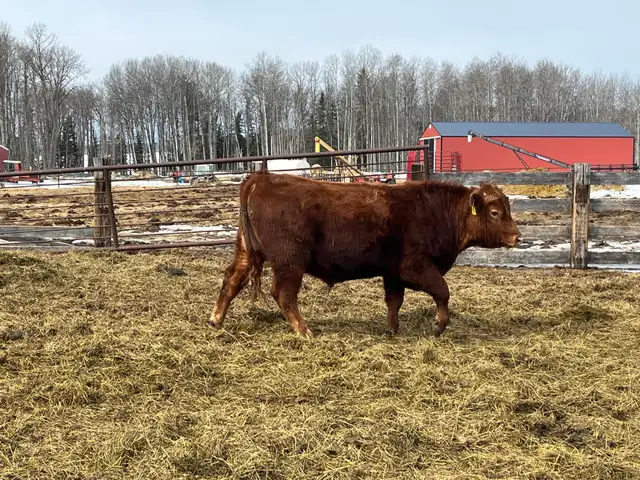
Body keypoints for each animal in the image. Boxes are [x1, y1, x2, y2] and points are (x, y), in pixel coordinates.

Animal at [209, 170, 521, 338]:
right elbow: (442, 292)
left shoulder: (392, 272)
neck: (434, 211)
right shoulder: (416, 266)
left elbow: (394, 301)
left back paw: (216, 320)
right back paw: (304, 330)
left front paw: (392, 330)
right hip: (290, 261)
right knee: (284, 294)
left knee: (232, 279)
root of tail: (261, 179)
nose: (517, 236)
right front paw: (438, 325)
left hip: (247, 251)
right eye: (495, 212)